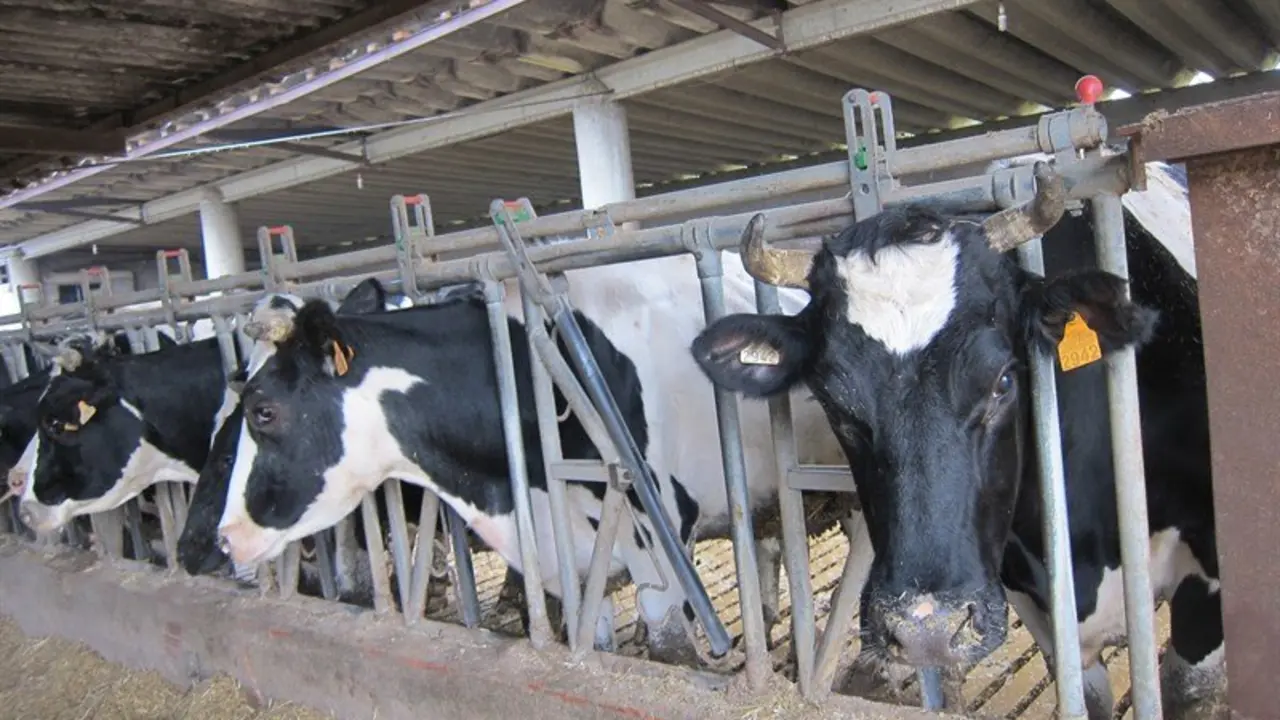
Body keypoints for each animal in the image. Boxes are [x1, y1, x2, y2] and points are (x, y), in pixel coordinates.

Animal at [204, 251, 859, 666]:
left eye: (262, 410)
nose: (224, 537)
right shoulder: (569, 561)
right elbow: (593, 637)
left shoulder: (663, 532)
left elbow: (667, 642)